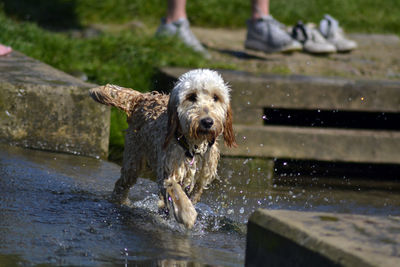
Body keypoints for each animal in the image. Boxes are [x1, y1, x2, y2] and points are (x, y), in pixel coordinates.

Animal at [89, 69, 236, 228]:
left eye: (216, 97)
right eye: (191, 96)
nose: (207, 122)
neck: (193, 147)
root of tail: (142, 97)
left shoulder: (200, 180)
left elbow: (192, 196)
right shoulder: (168, 171)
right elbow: (178, 192)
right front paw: (187, 214)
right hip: (134, 160)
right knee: (122, 184)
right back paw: (121, 202)